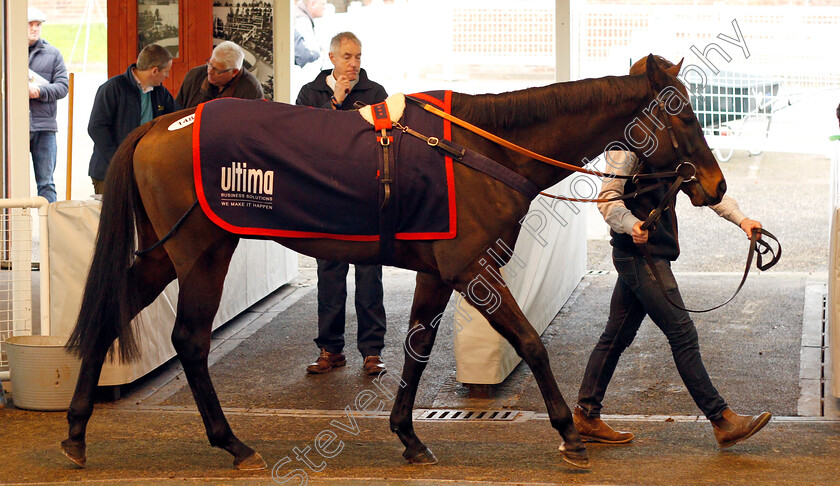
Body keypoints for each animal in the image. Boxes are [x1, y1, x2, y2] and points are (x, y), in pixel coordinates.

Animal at [60, 56, 728, 470]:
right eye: (684, 115)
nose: (715, 185)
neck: (477, 149)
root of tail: (164, 125)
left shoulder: (439, 273)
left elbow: (418, 348)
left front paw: (408, 436)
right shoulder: (473, 271)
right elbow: (532, 343)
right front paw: (568, 434)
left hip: (168, 253)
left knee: (114, 312)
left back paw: (75, 433)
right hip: (201, 252)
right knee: (190, 341)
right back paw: (232, 444)